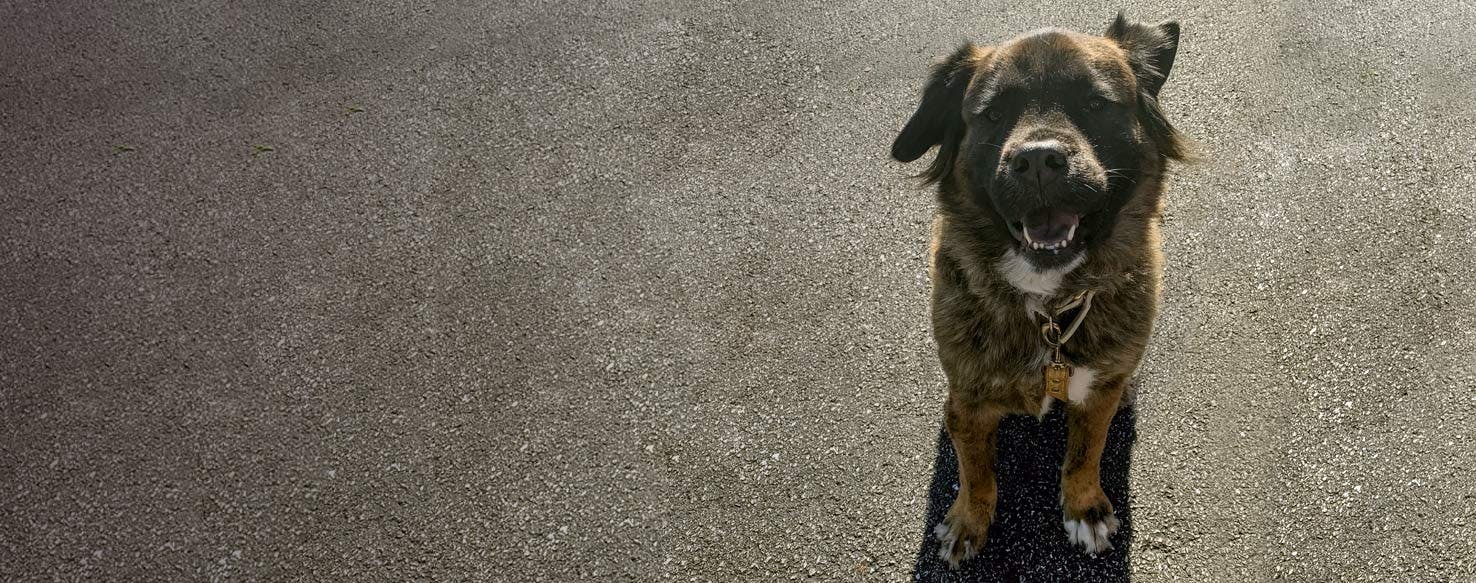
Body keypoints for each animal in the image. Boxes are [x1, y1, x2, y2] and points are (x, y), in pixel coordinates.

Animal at [885, 13, 1186, 569]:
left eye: (1095, 103)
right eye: (992, 114)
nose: (1040, 160)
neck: (1046, 307)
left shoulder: (1097, 393)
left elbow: (1084, 455)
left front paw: (1084, 508)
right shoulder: (968, 402)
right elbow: (976, 470)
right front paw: (968, 520)